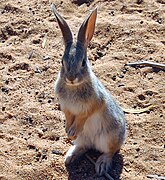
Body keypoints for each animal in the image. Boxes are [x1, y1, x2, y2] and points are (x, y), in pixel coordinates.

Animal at [51, 3, 126, 176]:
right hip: (85, 138)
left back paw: (102, 165)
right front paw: (68, 131)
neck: (74, 86)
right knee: (83, 146)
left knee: (110, 151)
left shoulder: (94, 104)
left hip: (109, 137)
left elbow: (83, 117)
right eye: (62, 61)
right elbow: (69, 116)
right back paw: (70, 156)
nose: (71, 78)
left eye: (83, 63)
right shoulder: (66, 108)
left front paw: (72, 130)